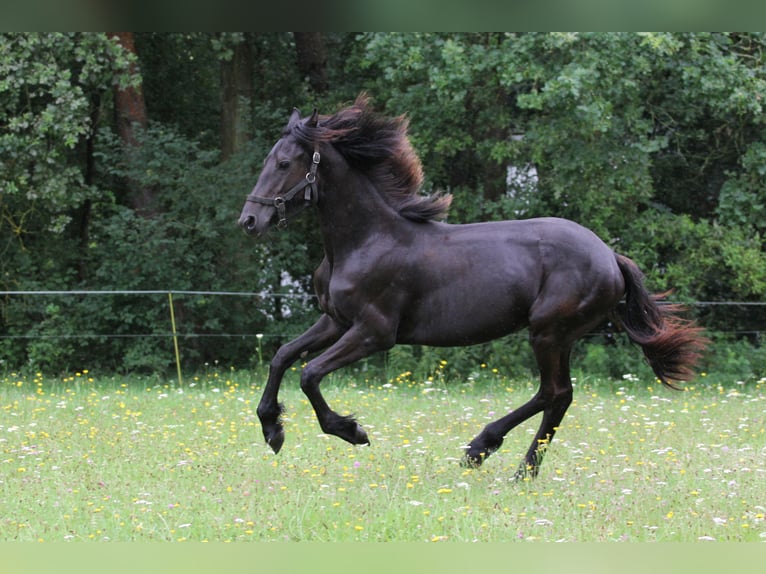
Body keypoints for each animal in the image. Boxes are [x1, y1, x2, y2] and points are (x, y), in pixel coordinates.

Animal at [238, 94, 708, 480]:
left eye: (284, 164)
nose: (249, 221)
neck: (365, 241)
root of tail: (611, 257)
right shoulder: (335, 320)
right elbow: (282, 357)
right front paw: (272, 429)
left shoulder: (374, 332)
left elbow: (309, 374)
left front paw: (352, 430)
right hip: (558, 336)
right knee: (556, 395)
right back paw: (499, 459)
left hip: (549, 332)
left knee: (556, 394)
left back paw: (497, 457)